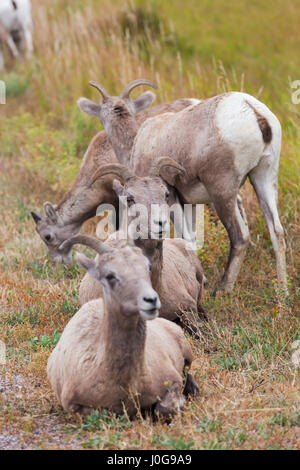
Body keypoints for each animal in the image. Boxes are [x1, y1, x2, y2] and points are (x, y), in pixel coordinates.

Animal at [46, 237, 199, 416]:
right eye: (110, 275)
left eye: (147, 267)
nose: (151, 300)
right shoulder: (74, 405)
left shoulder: (172, 380)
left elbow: (164, 408)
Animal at [78, 79, 288, 296]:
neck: (138, 142)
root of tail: (253, 112)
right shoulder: (190, 204)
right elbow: (190, 237)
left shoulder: (172, 199)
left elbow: (186, 237)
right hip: (264, 178)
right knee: (277, 232)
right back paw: (282, 292)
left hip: (222, 193)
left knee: (240, 237)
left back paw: (222, 289)